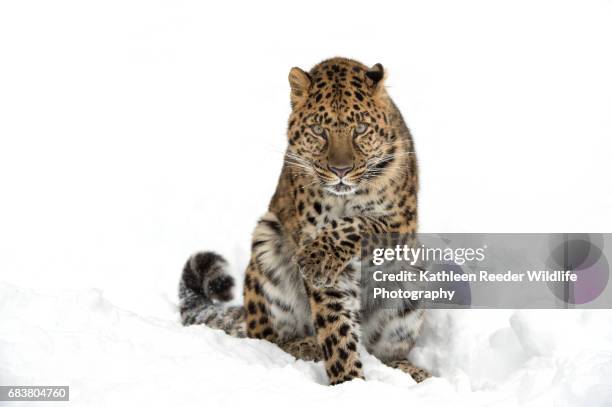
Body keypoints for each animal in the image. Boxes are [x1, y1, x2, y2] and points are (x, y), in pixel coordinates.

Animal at [178, 56, 430, 386]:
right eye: (319, 130)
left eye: (360, 128)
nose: (340, 170)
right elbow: (336, 330)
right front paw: (349, 382)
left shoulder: (400, 222)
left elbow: (359, 223)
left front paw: (316, 257)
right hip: (266, 244)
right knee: (268, 338)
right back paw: (305, 345)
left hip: (412, 282)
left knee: (385, 354)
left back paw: (412, 371)